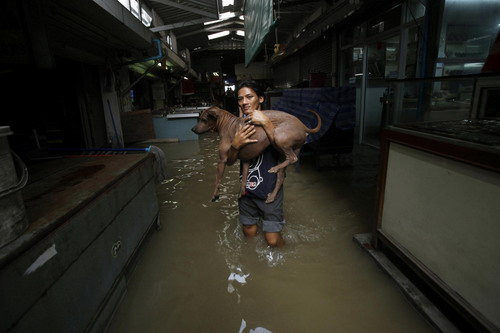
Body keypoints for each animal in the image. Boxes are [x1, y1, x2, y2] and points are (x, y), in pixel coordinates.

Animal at [191, 106, 320, 201]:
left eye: (204, 120)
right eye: (200, 119)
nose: (192, 129)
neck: (226, 124)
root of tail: (303, 125)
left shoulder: (223, 160)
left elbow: (217, 180)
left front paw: (214, 194)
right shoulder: (245, 160)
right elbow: (244, 179)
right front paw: (242, 192)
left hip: (278, 135)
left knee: (293, 158)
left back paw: (274, 168)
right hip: (282, 152)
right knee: (282, 175)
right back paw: (272, 195)